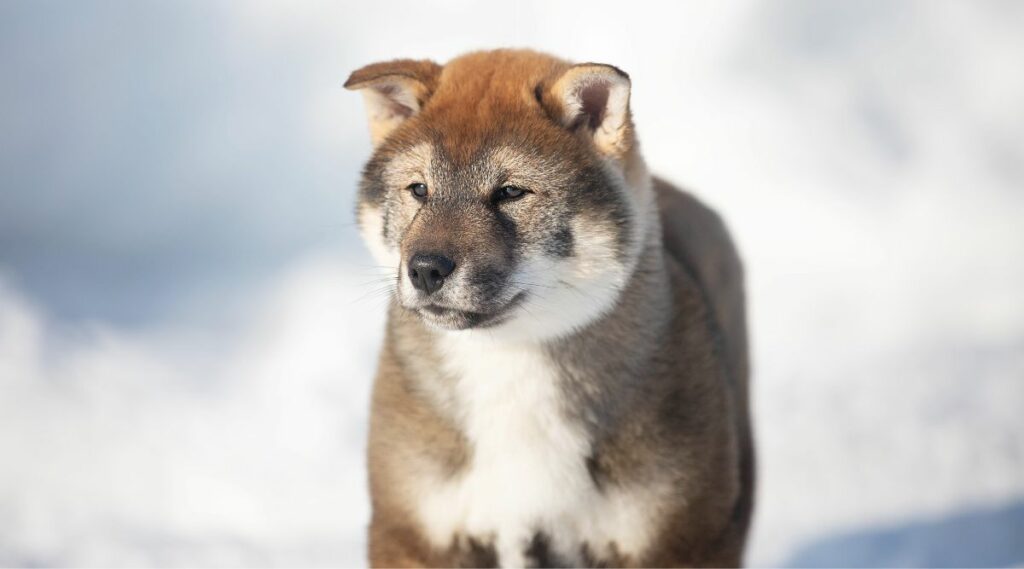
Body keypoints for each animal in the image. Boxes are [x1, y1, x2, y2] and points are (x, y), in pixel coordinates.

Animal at [344, 49, 753, 569]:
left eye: (511, 192)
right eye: (418, 189)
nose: (426, 269)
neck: (512, 367)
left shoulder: (683, 535)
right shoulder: (415, 528)